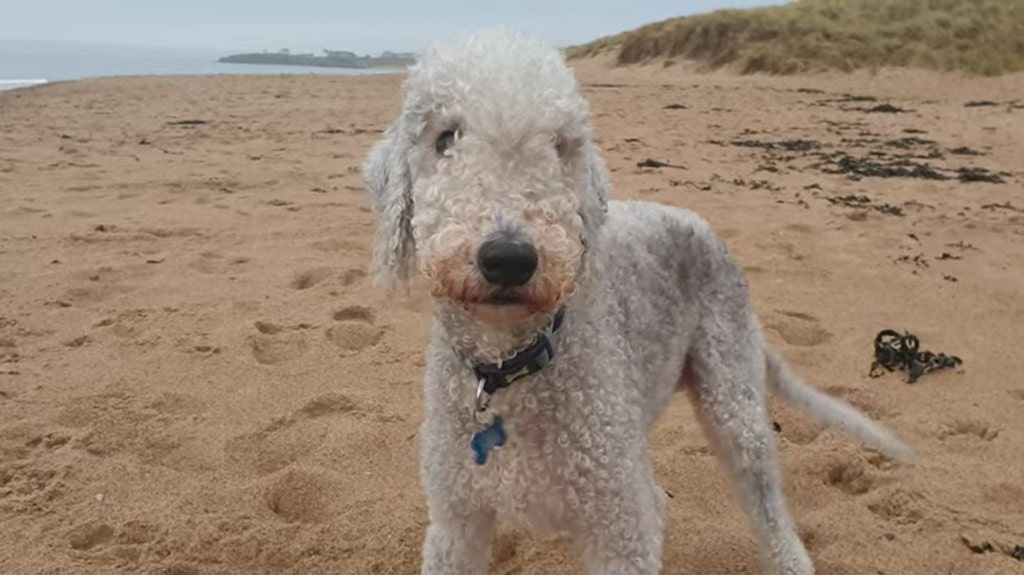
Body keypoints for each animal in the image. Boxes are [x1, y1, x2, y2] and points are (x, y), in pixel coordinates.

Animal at [362, 24, 913, 568]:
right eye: (445, 138)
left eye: (560, 146)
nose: (510, 258)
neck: (510, 368)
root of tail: (703, 225)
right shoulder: (457, 521)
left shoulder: (617, 526)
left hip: (732, 393)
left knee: (766, 501)